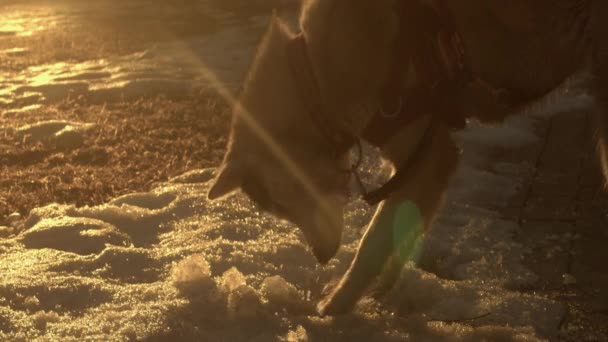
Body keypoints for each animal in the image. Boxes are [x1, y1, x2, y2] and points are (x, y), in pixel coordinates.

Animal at [209, 0, 608, 316]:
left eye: (288, 202)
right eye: (282, 212)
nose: (321, 257)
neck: (317, 79)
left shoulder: (431, 158)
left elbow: (371, 244)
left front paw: (335, 305)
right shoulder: (419, 164)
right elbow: (401, 229)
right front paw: (384, 288)